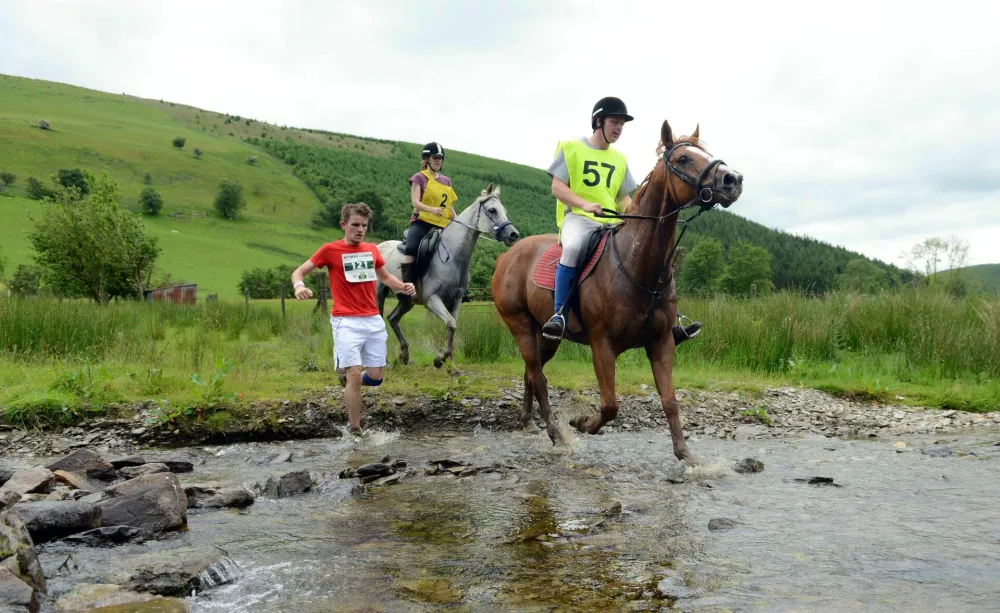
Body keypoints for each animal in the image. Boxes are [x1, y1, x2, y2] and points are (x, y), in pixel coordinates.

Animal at [376, 184, 519, 371]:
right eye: (492, 210)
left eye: (505, 210)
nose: (513, 235)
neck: (453, 257)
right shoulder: (432, 300)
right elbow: (451, 324)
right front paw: (440, 359)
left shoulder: (456, 300)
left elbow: (452, 326)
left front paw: (450, 365)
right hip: (379, 293)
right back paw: (384, 362)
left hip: (406, 300)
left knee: (393, 319)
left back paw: (404, 355)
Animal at [491, 121, 743, 464]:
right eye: (683, 159)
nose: (733, 180)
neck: (637, 266)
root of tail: (507, 255)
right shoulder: (602, 344)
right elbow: (610, 405)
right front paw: (582, 423)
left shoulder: (661, 343)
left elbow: (670, 400)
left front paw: (687, 456)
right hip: (520, 325)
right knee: (539, 377)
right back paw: (557, 437)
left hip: (546, 335)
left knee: (532, 372)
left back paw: (529, 423)